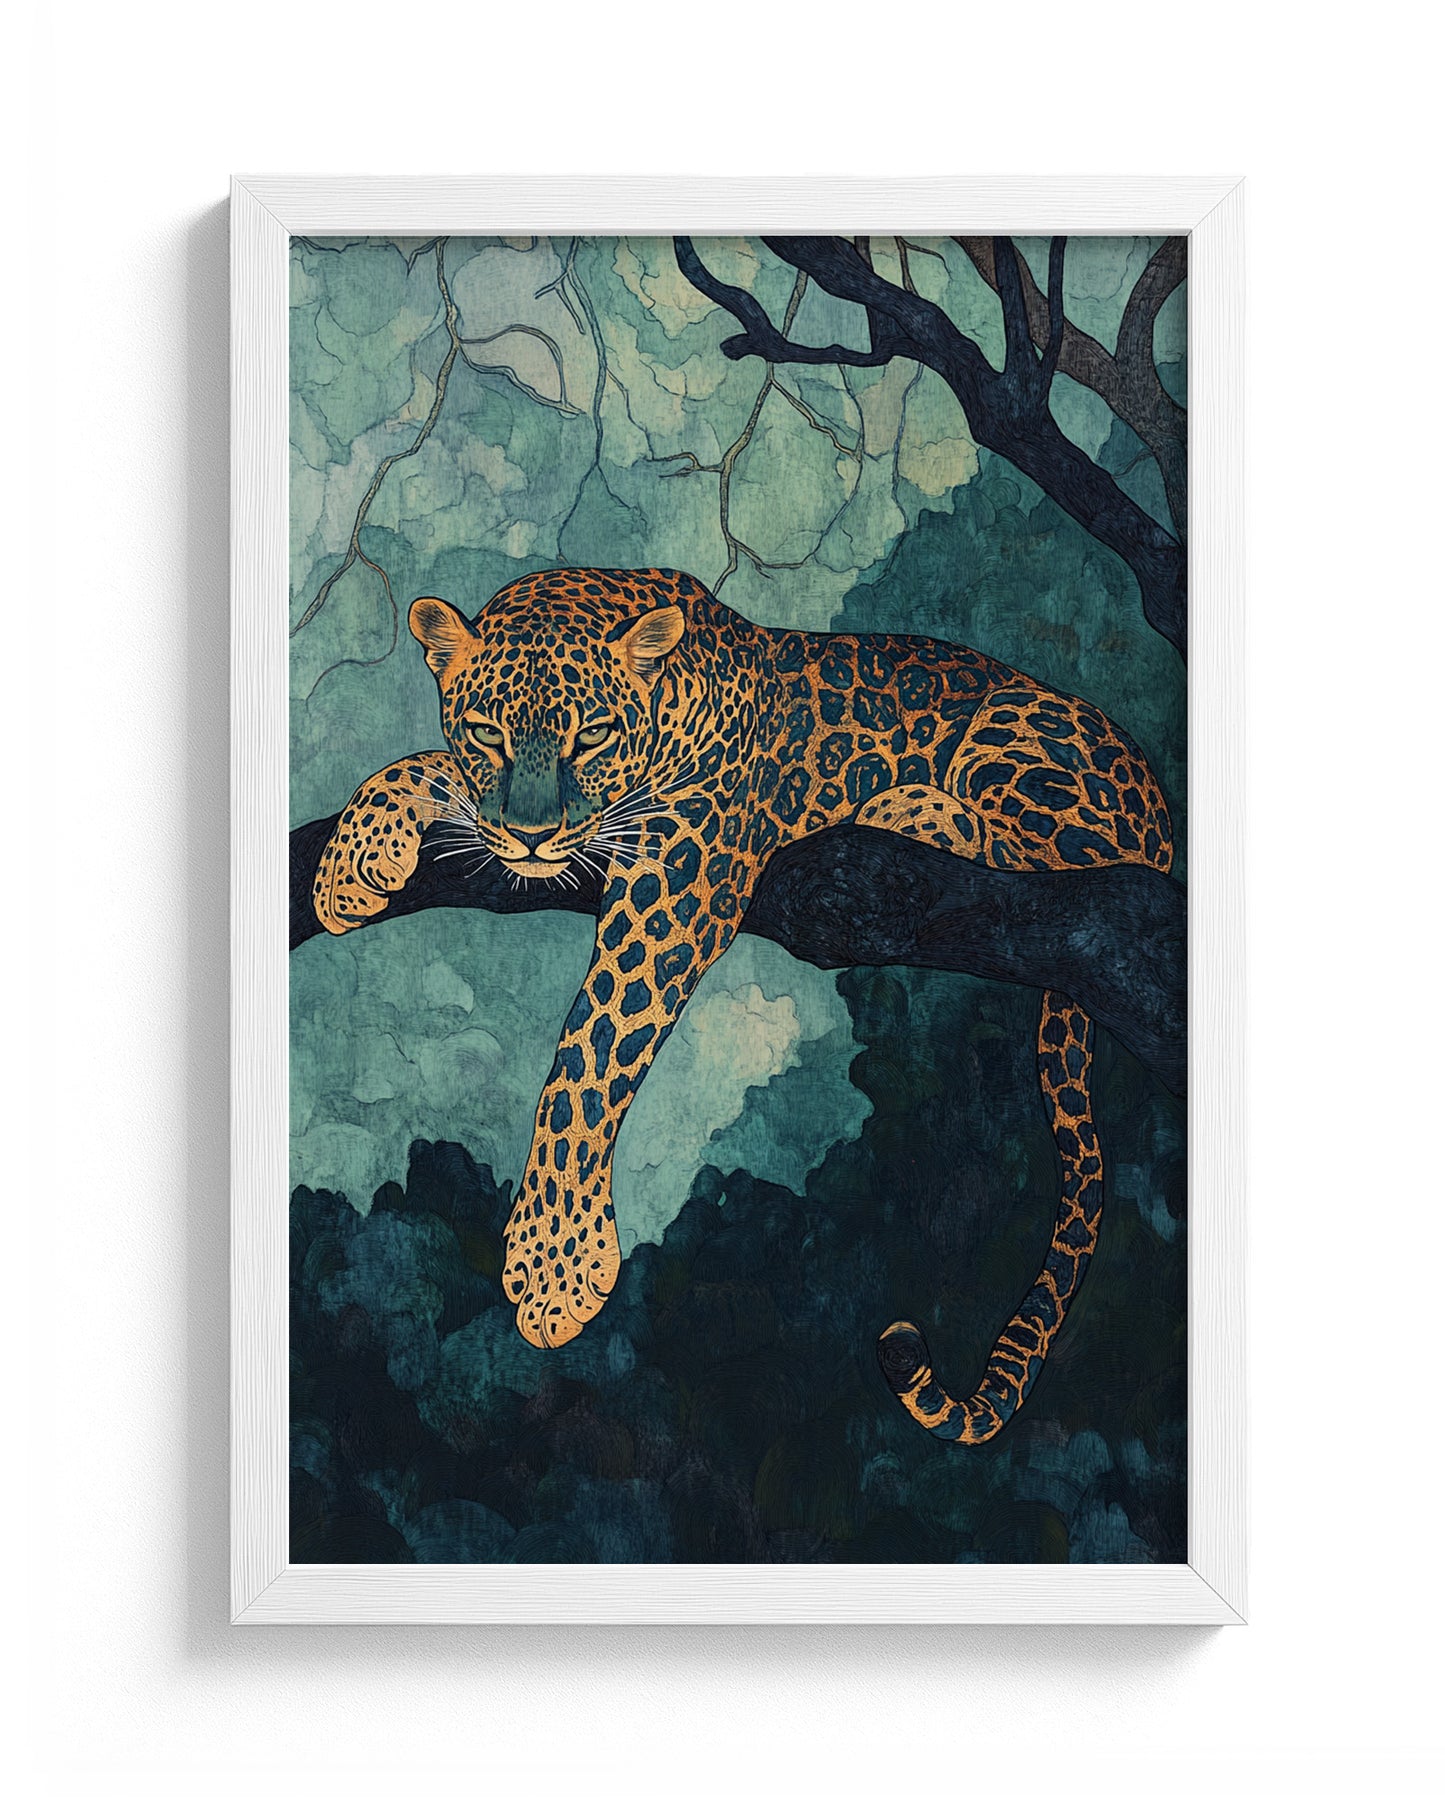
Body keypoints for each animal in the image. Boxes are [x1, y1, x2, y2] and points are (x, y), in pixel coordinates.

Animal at [312, 566, 1173, 1445]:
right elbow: (427, 765)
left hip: (1016, 737)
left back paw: (910, 810)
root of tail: (1159, 809)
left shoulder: (679, 869)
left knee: (1059, 857)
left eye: (592, 736)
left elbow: (589, 1055)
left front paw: (556, 1263)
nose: (528, 837)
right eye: (487, 733)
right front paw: (349, 864)